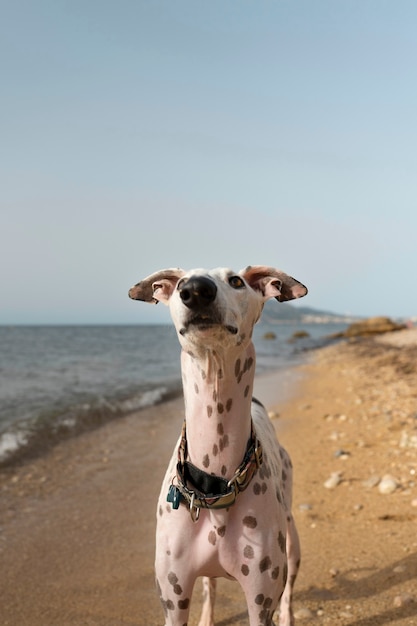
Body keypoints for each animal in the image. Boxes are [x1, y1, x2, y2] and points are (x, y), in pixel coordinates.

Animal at [128, 266, 308, 624]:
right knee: (210, 586)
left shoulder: (260, 601)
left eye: (236, 281)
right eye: (180, 285)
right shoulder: (173, 598)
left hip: (292, 543)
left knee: (288, 592)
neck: (214, 481)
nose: (196, 290)